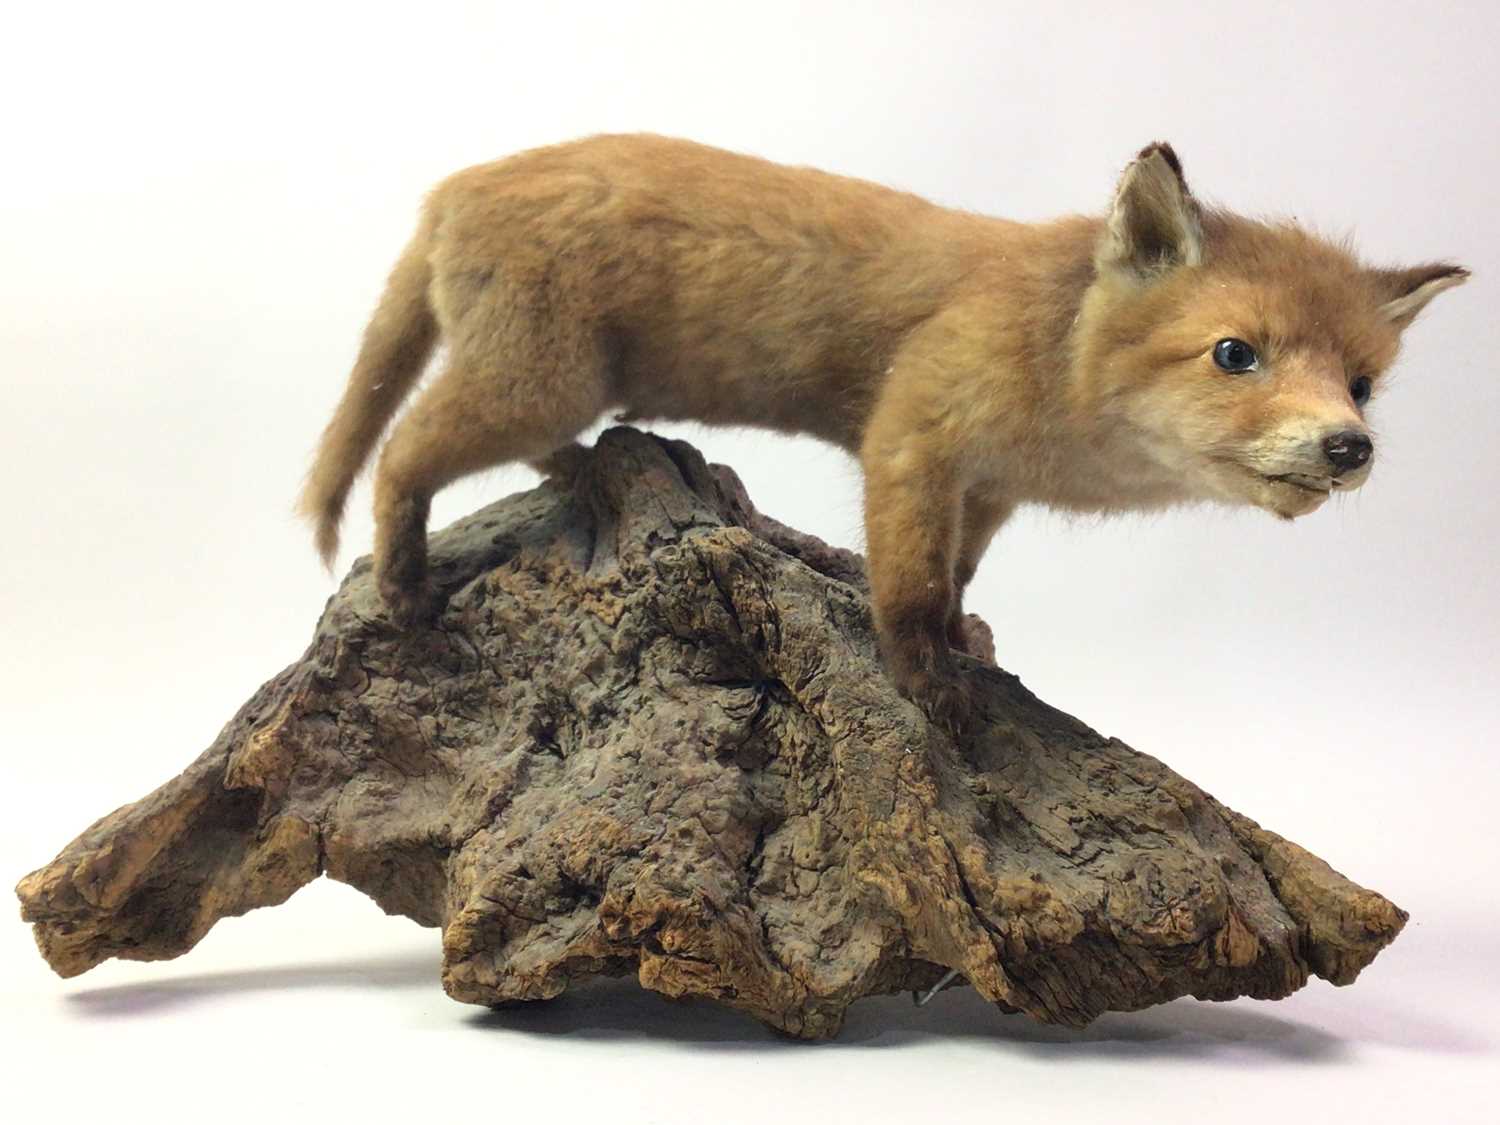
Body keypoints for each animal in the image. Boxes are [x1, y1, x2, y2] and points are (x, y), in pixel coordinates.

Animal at [298, 133, 1466, 727]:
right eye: (1236, 354)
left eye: (1363, 384)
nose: (1349, 448)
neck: (1051, 356)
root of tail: (453, 185)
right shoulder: (912, 436)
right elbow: (901, 585)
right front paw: (925, 683)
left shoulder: (984, 487)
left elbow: (954, 579)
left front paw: (965, 643)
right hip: (536, 381)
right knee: (398, 454)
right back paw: (402, 589)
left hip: (558, 386)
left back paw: (592, 472)